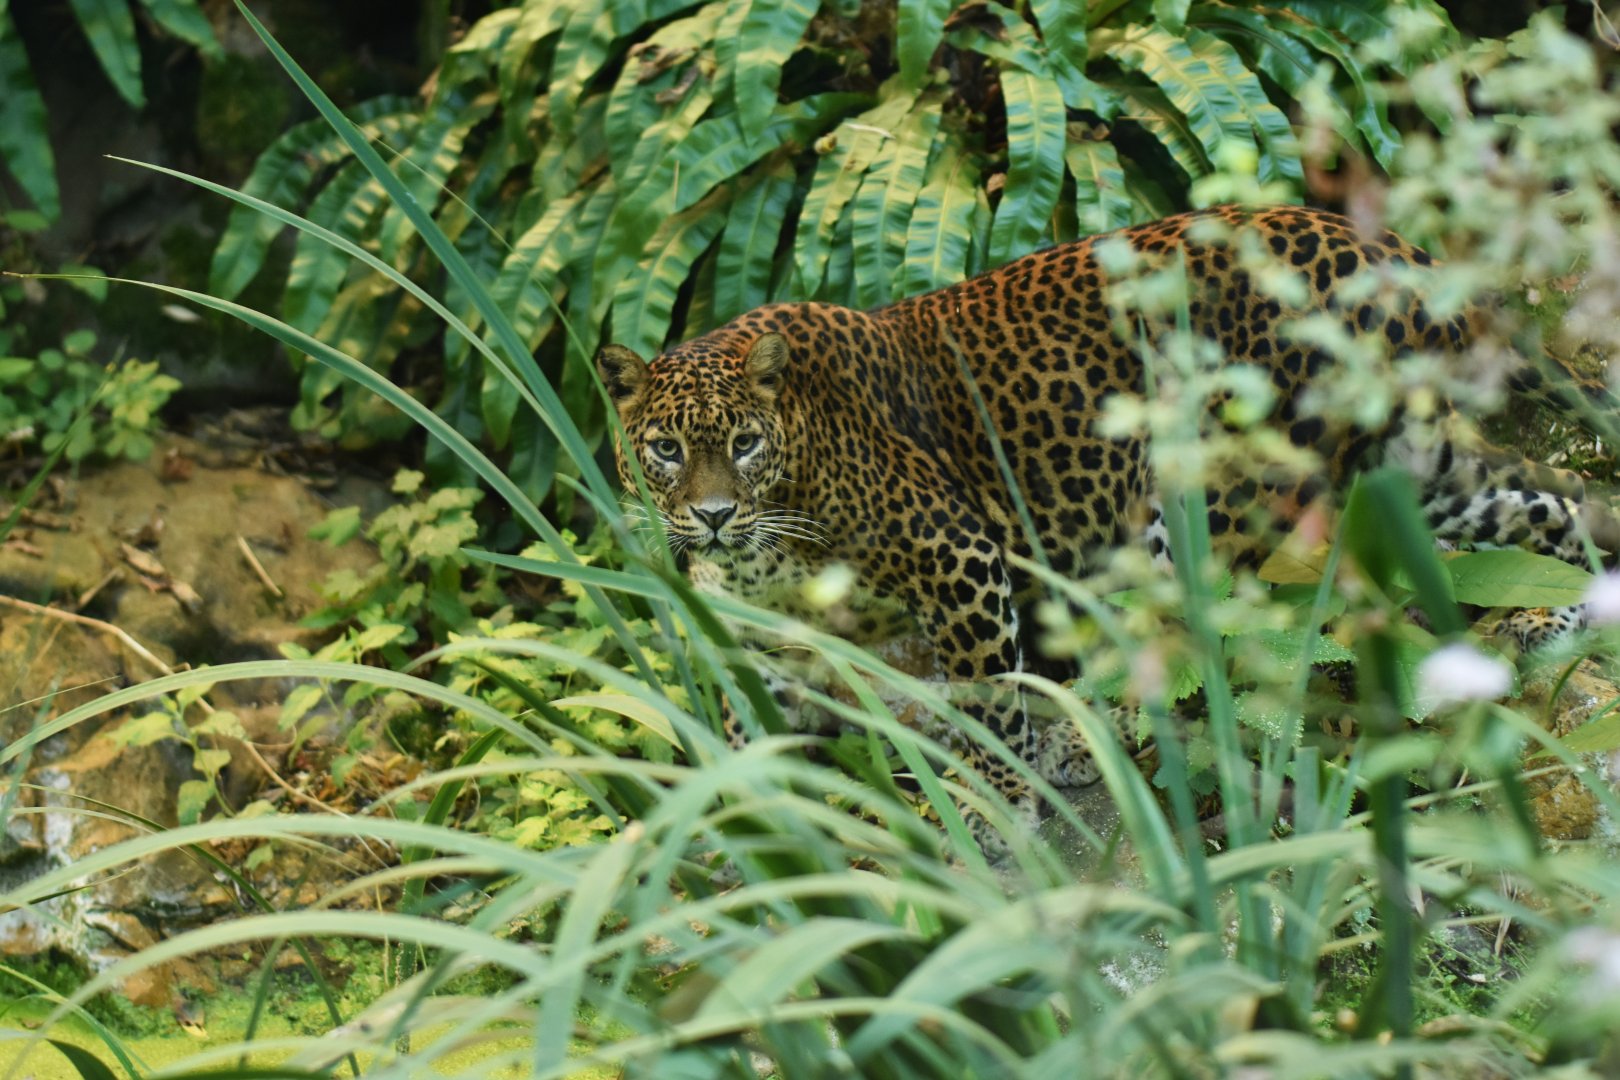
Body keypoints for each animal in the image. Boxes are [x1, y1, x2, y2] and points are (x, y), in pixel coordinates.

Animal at [597, 203, 1618, 850]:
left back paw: (1079, 748)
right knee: (1555, 502)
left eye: (743, 442)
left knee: (1208, 641)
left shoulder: (956, 554)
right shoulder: (771, 631)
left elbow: (987, 695)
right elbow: (746, 724)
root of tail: (1386, 246)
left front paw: (997, 807)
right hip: (1416, 462)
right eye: (663, 450)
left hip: (1219, 487)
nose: (712, 517)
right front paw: (722, 829)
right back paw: (1553, 631)